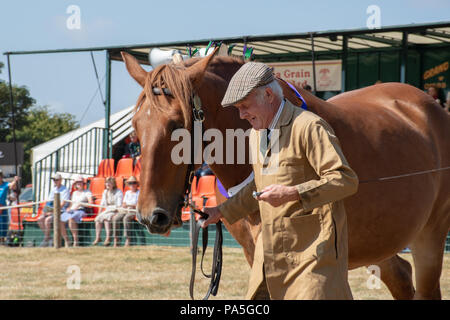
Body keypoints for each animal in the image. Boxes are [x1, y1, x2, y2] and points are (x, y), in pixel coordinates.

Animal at [120, 50, 450, 300]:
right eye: (135, 126)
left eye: (177, 124)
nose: (151, 215)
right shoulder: (256, 258)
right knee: (401, 277)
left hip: (430, 234)